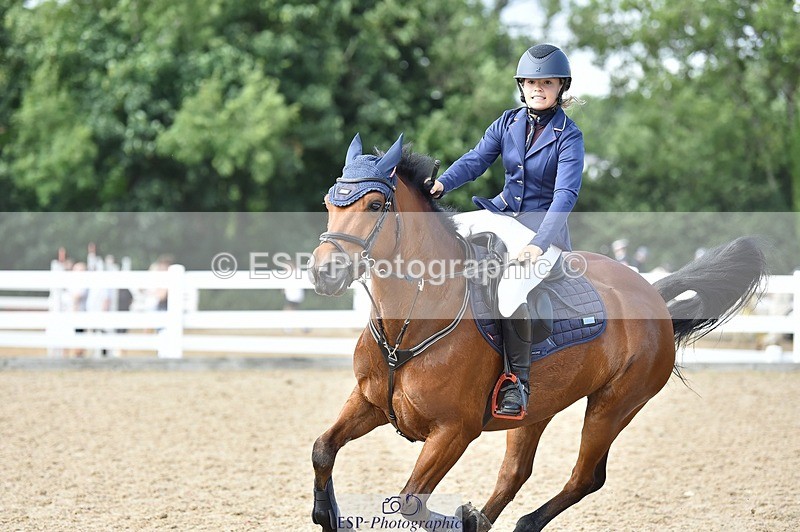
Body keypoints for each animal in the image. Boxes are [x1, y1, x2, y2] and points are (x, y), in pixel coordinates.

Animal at [308, 135, 767, 532]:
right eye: (329, 201)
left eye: (375, 204)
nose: (323, 272)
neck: (411, 322)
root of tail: (651, 293)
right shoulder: (369, 402)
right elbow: (323, 449)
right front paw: (328, 515)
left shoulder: (454, 431)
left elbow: (409, 501)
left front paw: (462, 520)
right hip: (537, 410)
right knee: (516, 472)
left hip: (614, 407)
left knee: (584, 478)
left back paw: (516, 522)